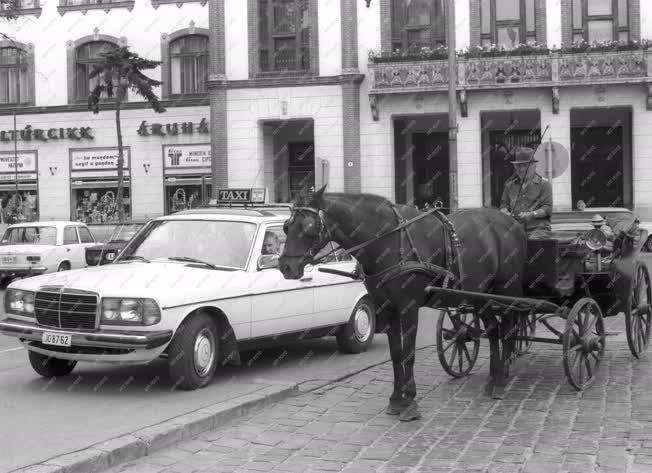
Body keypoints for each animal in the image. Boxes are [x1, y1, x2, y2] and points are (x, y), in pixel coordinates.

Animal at [280, 186, 528, 418]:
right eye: (285, 227)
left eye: (309, 227)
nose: (285, 267)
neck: (388, 241)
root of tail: (511, 222)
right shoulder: (387, 310)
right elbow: (396, 353)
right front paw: (396, 399)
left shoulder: (409, 308)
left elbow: (409, 353)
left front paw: (410, 402)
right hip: (480, 295)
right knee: (494, 330)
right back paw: (494, 376)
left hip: (506, 290)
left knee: (508, 329)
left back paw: (501, 379)